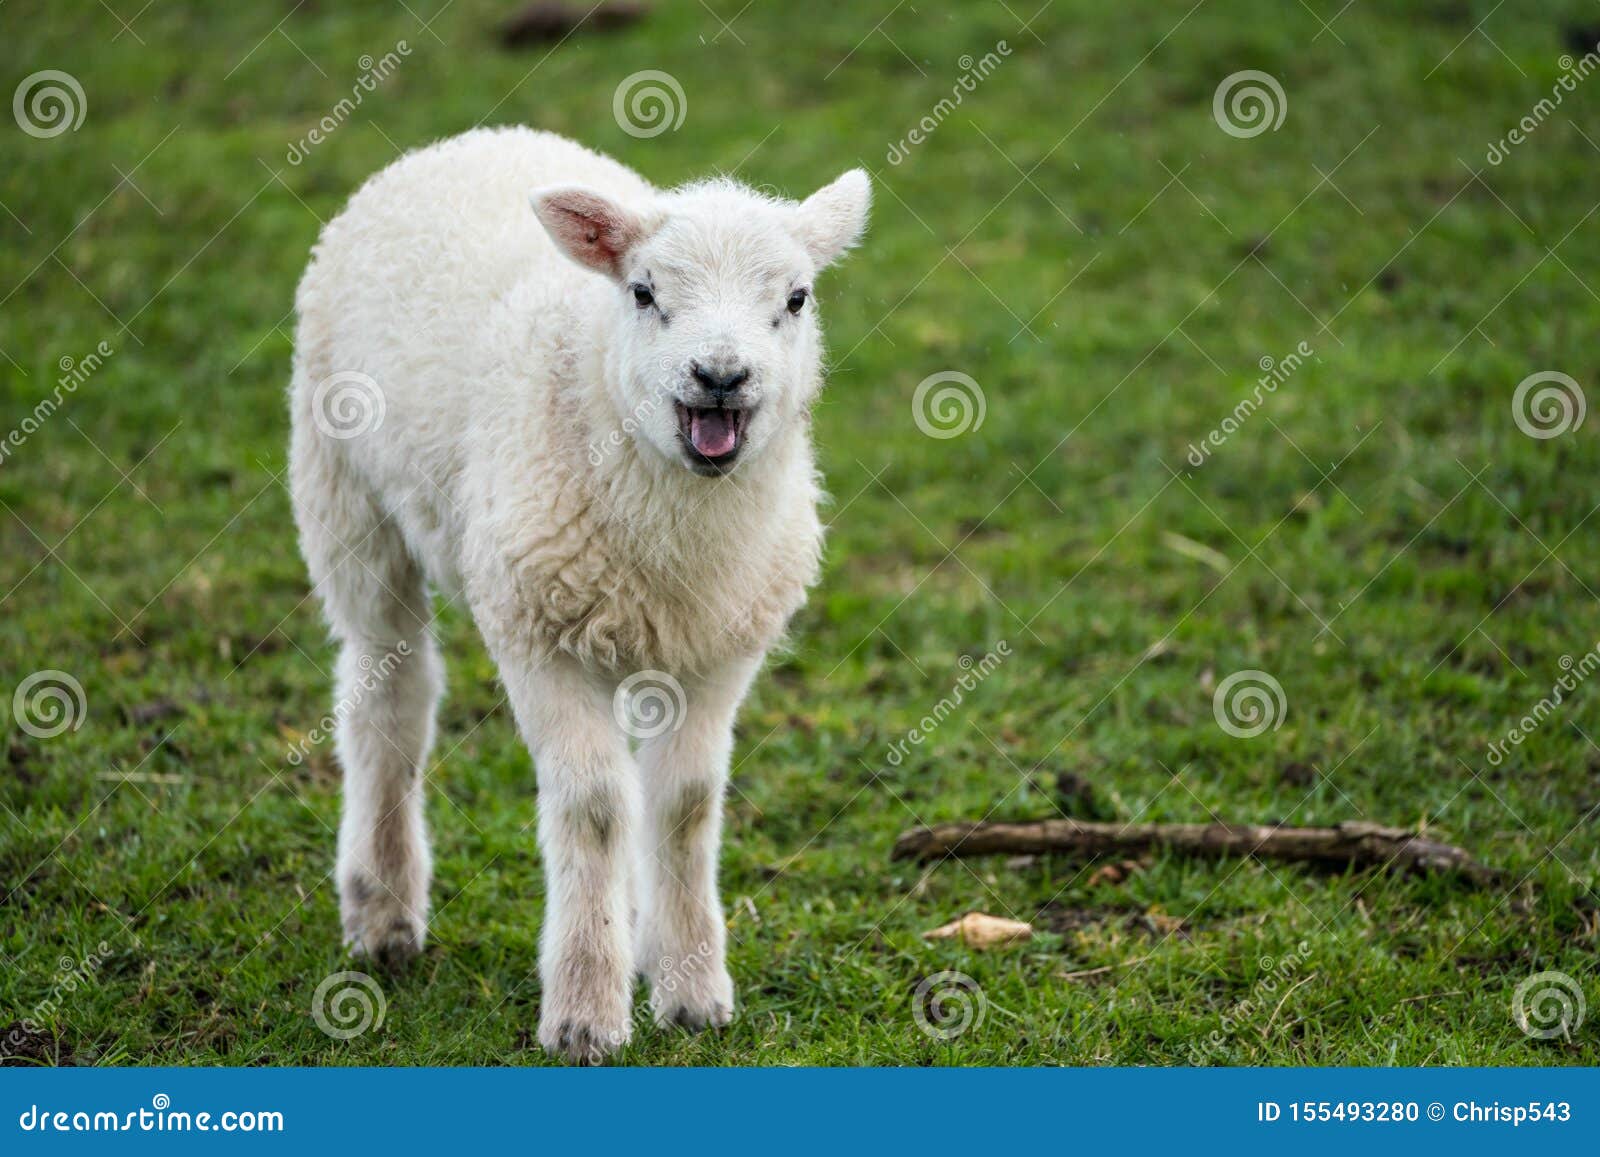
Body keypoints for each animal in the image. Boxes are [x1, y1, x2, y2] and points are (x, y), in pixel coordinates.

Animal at [287, 127, 870, 1063]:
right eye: (643, 292)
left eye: (796, 297)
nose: (720, 374)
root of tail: (467, 139)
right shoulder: (537, 630)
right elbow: (594, 808)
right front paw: (586, 1011)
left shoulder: (718, 645)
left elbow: (685, 803)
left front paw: (691, 988)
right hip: (344, 491)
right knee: (388, 692)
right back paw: (383, 911)